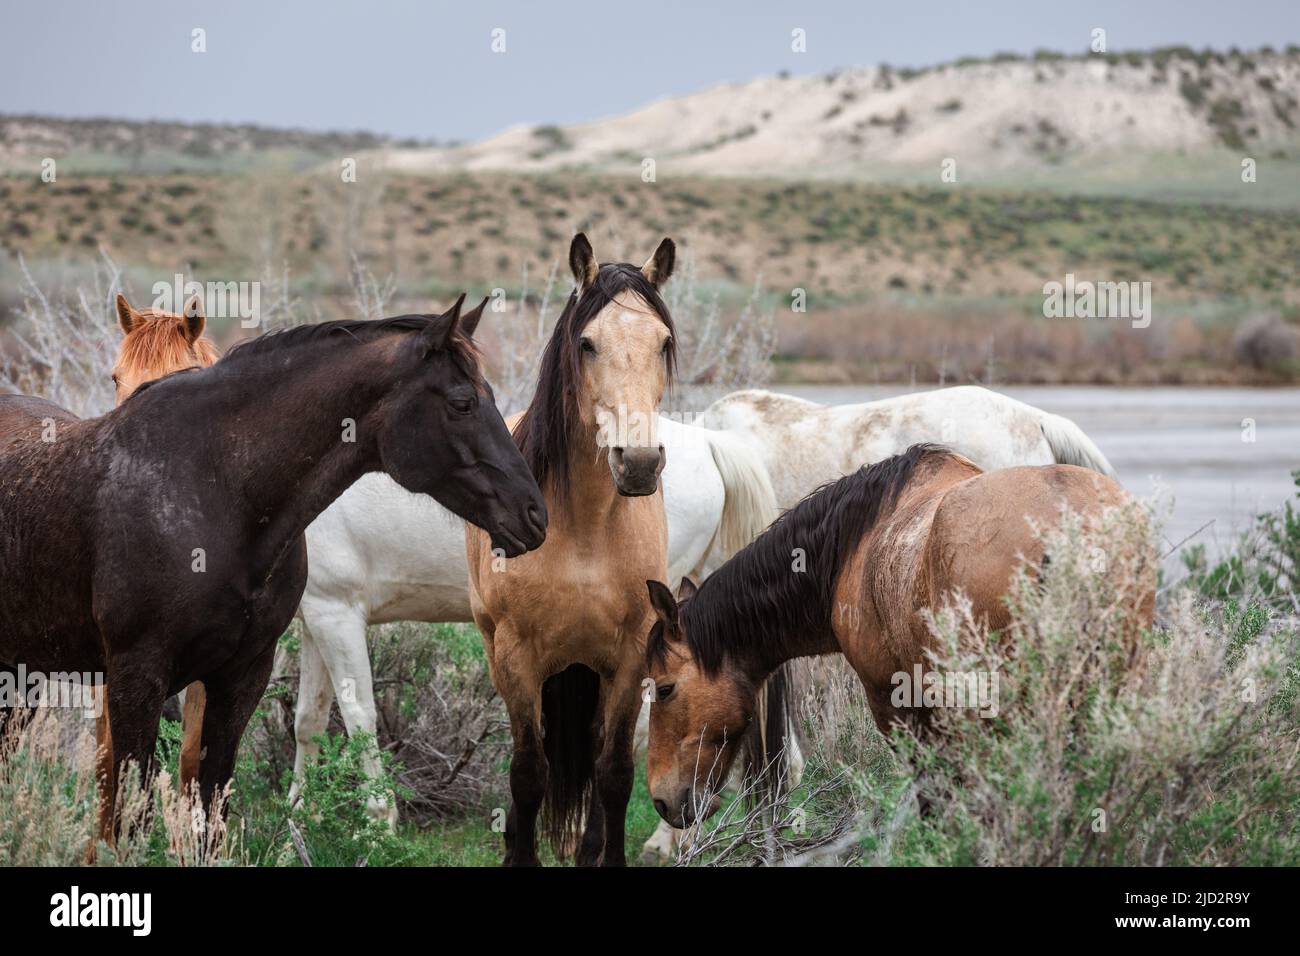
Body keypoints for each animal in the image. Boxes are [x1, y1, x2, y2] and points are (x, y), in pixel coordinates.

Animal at [0, 295, 547, 846]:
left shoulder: (246, 671)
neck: (210, 487)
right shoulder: (140, 676)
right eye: (463, 403)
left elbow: (215, 801)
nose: (534, 513)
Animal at [466, 233, 677, 866]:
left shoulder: (631, 656)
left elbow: (613, 772)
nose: (639, 462)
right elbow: (528, 771)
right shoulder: (518, 656)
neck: (584, 527)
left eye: (663, 342)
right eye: (587, 343)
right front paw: (520, 854)